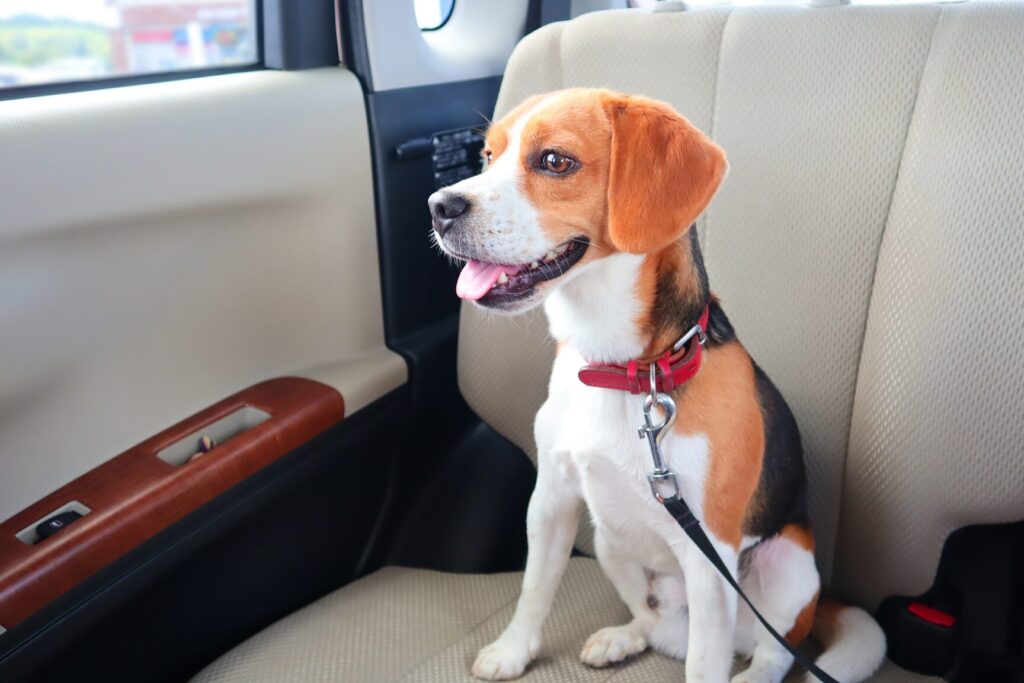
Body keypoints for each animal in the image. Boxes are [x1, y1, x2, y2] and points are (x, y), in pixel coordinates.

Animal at [429, 89, 886, 683]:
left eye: (554, 161)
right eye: (486, 156)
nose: (439, 206)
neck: (624, 370)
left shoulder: (710, 557)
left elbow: (705, 664)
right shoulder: (551, 499)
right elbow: (534, 588)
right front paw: (513, 650)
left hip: (788, 567)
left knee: (771, 650)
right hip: (610, 541)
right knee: (659, 627)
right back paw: (624, 638)